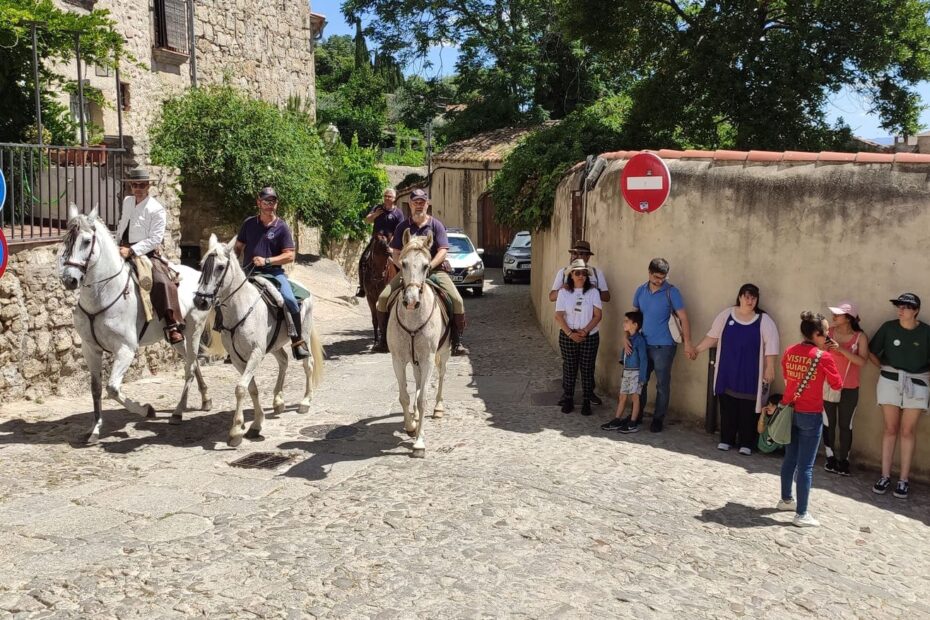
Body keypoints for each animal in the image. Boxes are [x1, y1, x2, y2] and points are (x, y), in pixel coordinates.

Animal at [57, 206, 217, 444]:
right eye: (67, 240)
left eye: (86, 241)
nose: (70, 280)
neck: (104, 294)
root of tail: (200, 277)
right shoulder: (90, 349)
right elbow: (96, 389)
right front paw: (95, 429)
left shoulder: (126, 349)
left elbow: (112, 389)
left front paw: (146, 410)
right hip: (177, 338)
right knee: (194, 361)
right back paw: (205, 399)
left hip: (194, 330)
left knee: (189, 367)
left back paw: (178, 412)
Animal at [192, 234, 322, 446]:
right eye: (202, 265)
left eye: (220, 266)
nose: (201, 301)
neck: (241, 309)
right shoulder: (238, 359)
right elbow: (251, 388)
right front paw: (256, 423)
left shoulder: (256, 353)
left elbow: (240, 388)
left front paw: (236, 430)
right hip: (275, 345)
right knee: (284, 361)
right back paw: (278, 401)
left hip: (303, 335)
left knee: (308, 364)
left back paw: (305, 402)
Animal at [386, 230, 452, 458]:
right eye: (403, 263)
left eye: (425, 266)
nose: (412, 301)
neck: (413, 319)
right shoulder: (398, 360)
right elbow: (405, 396)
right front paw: (411, 426)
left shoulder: (428, 359)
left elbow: (423, 398)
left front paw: (419, 443)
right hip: (414, 361)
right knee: (416, 380)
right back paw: (414, 417)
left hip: (443, 353)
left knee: (441, 376)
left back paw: (439, 408)